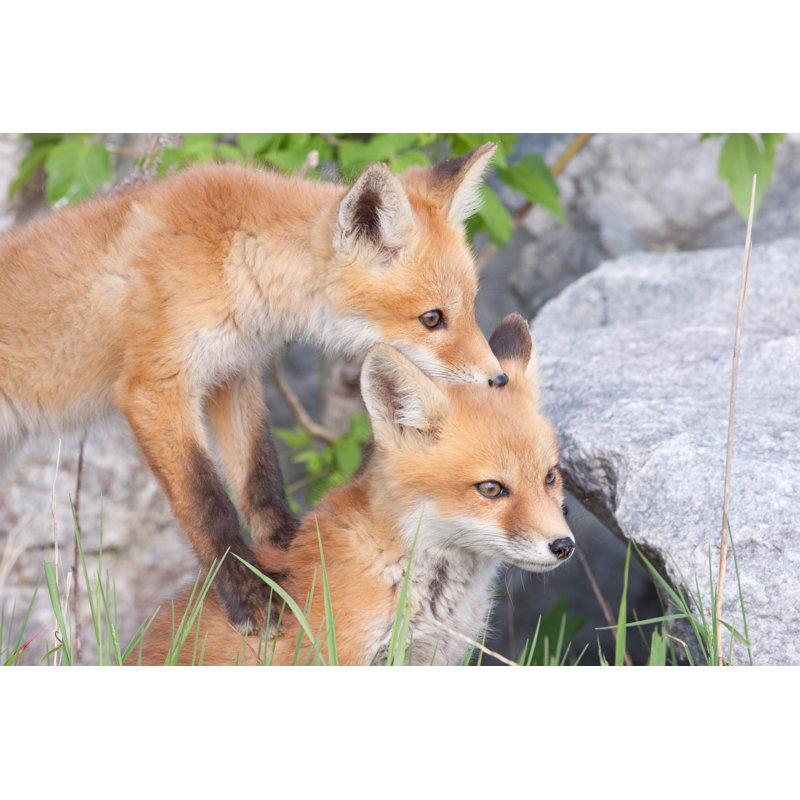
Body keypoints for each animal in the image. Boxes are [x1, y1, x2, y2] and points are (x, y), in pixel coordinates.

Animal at [0, 142, 508, 634]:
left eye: (471, 307)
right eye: (432, 319)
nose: (499, 379)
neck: (235, 258)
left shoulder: (232, 375)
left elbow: (260, 481)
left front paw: (297, 550)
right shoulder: (154, 387)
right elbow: (209, 505)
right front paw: (250, 597)